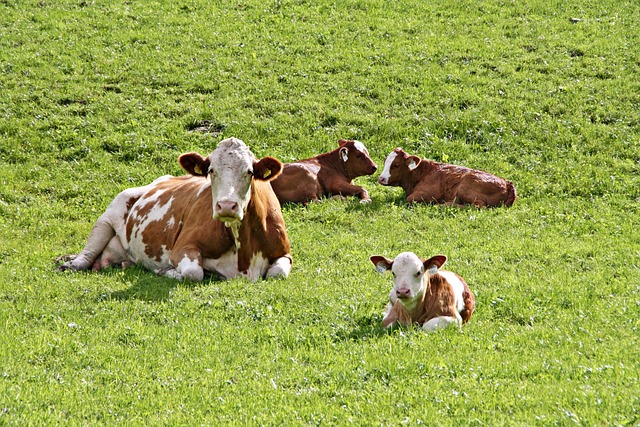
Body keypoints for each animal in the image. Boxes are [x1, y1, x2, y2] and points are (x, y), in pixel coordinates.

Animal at [57, 137, 292, 282]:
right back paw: (70, 264)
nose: (226, 205)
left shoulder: (285, 253)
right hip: (110, 212)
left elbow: (278, 272)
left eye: (249, 171)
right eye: (211, 170)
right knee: (87, 253)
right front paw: (166, 271)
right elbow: (193, 272)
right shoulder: (183, 247)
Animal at [378, 148, 516, 208]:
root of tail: (507, 183)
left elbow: (409, 199)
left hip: (465, 187)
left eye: (396, 164)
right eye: (385, 162)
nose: (381, 179)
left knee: (478, 206)